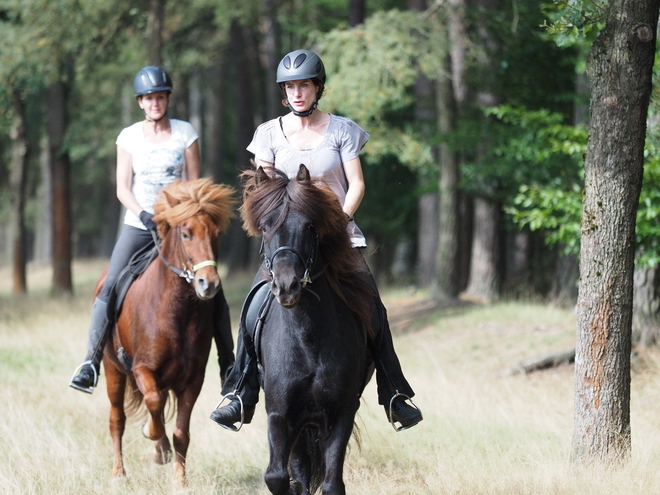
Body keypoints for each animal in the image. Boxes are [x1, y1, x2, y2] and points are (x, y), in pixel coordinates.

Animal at [96, 179, 233, 488]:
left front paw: (180, 481)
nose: (208, 284)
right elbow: (153, 404)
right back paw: (118, 473)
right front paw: (150, 432)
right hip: (112, 369)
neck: (175, 311)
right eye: (185, 233)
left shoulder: (193, 380)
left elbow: (181, 433)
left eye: (217, 234)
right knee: (117, 419)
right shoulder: (142, 369)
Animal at [241, 167, 376, 495]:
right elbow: (277, 476)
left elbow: (332, 484)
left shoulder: (341, 412)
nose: (287, 286)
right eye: (265, 227)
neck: (307, 339)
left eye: (309, 226)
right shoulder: (280, 414)